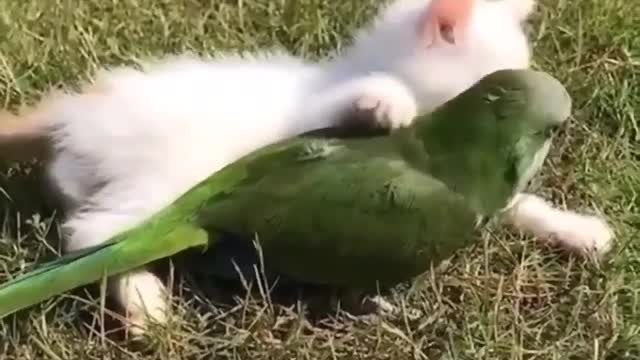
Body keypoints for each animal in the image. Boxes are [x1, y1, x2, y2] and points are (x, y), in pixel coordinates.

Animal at [0, 0, 612, 334]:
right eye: (496, 82)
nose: (548, 115)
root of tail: (76, 109)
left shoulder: (460, 180)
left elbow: (512, 204)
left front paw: (577, 230)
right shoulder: (318, 115)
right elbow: (357, 104)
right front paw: (385, 103)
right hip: (168, 179)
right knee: (97, 234)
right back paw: (146, 302)